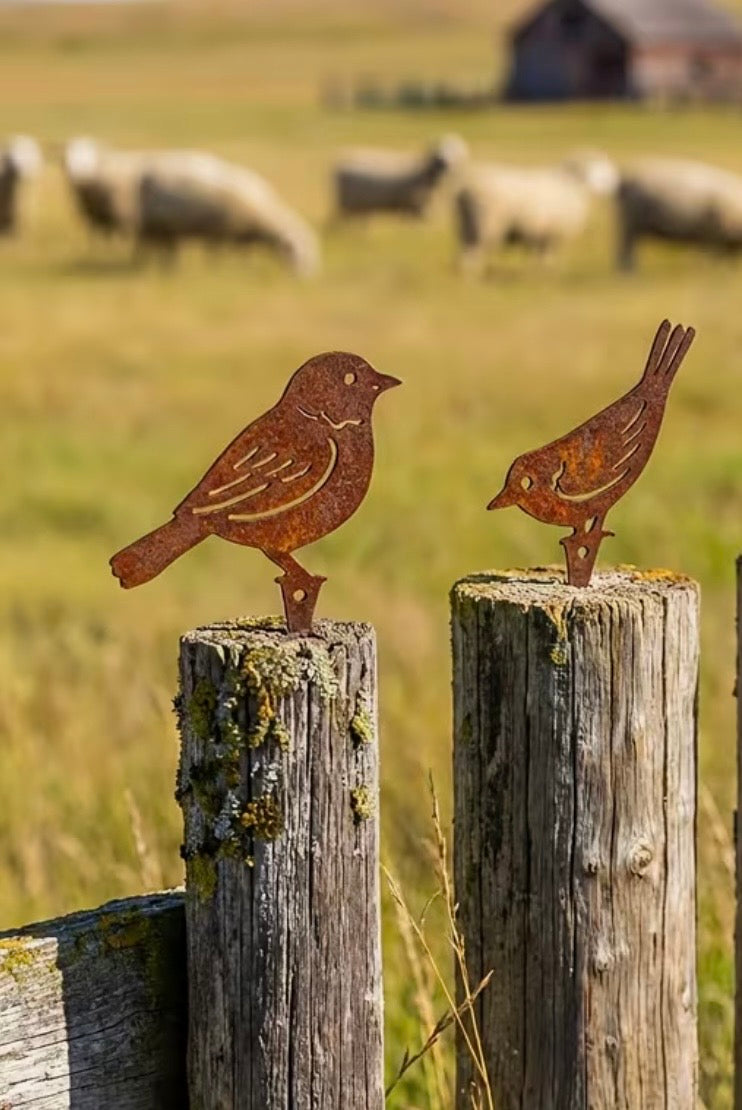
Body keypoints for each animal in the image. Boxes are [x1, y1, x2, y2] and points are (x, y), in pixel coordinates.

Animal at [63, 138, 320, 275]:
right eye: (299, 251)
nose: (309, 278)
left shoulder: (236, 233)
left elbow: (240, 252)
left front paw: (240, 266)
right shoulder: (223, 230)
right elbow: (220, 253)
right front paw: (220, 268)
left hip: (162, 227)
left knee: (162, 248)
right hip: (154, 225)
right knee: (146, 247)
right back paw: (148, 266)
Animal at [454, 151, 617, 273]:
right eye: (598, 168)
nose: (613, 185)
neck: (571, 183)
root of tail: (466, 188)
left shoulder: (544, 234)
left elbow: (542, 256)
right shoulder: (553, 233)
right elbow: (548, 256)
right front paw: (549, 275)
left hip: (465, 224)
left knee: (466, 251)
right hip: (487, 222)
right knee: (475, 251)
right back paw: (475, 279)